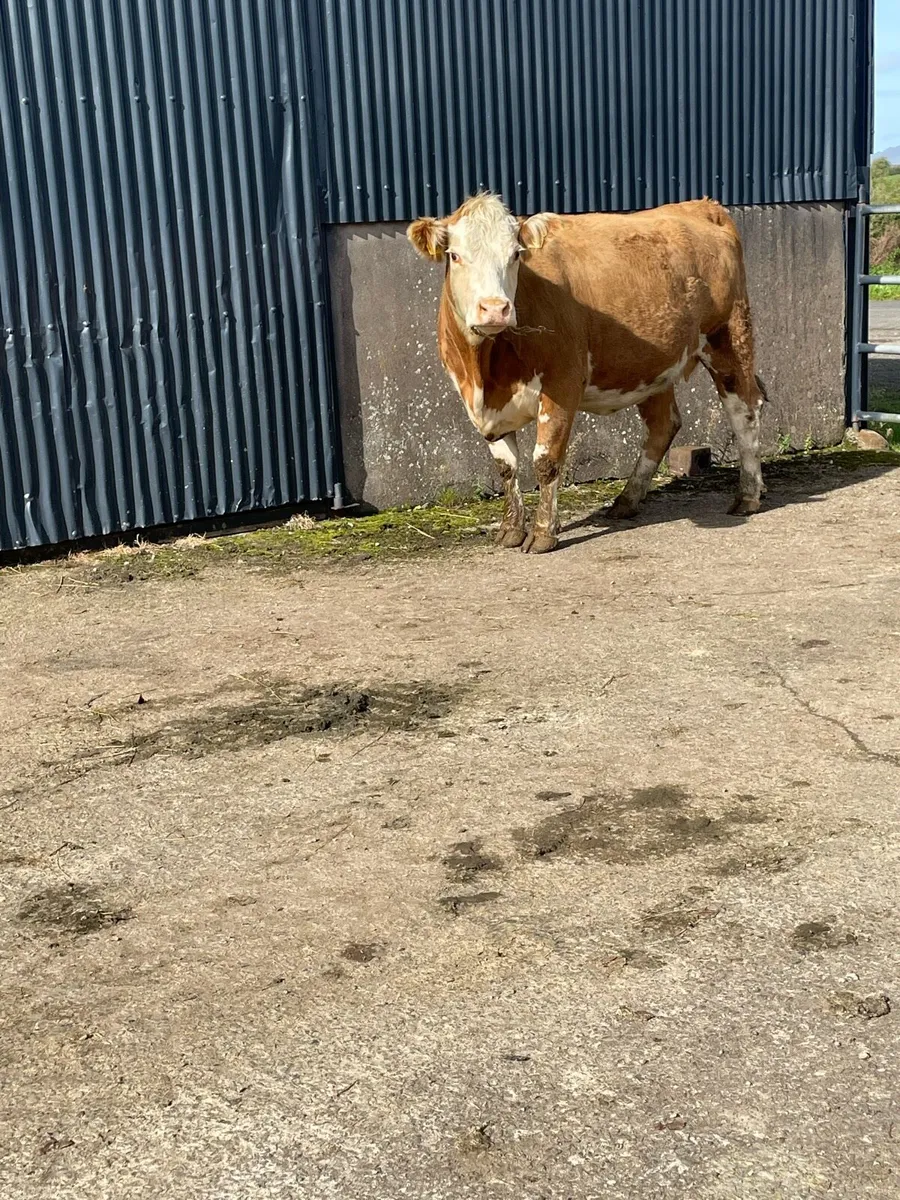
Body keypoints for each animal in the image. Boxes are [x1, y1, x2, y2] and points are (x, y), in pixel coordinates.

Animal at [408, 193, 766, 553]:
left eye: (515, 255)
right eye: (455, 255)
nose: (495, 309)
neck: (486, 371)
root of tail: (701, 205)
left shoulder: (562, 384)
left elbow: (546, 461)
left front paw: (543, 533)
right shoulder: (480, 403)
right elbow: (506, 467)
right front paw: (511, 528)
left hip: (729, 337)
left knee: (744, 411)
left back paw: (748, 494)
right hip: (651, 365)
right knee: (664, 424)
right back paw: (626, 501)